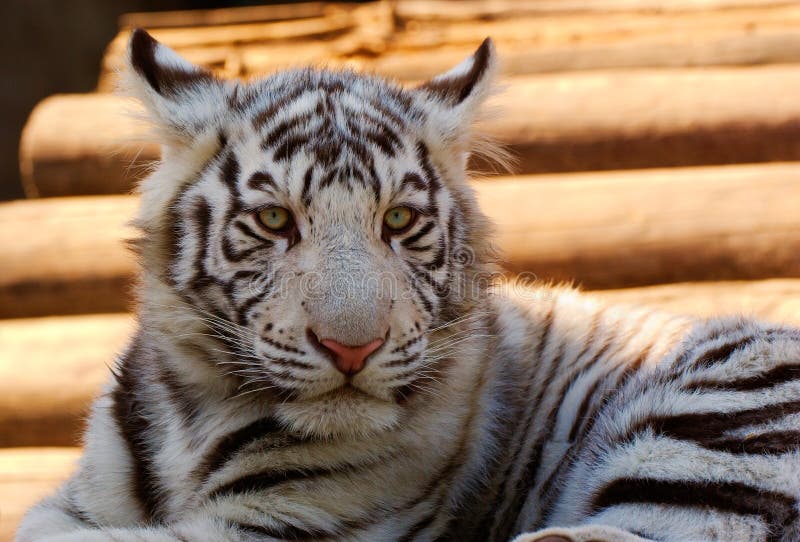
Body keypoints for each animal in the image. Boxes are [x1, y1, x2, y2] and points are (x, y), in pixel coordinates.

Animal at [17, 29, 800, 542]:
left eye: (398, 219)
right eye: (274, 219)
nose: (351, 349)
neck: (195, 409)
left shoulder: (289, 523)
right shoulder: (79, 500)